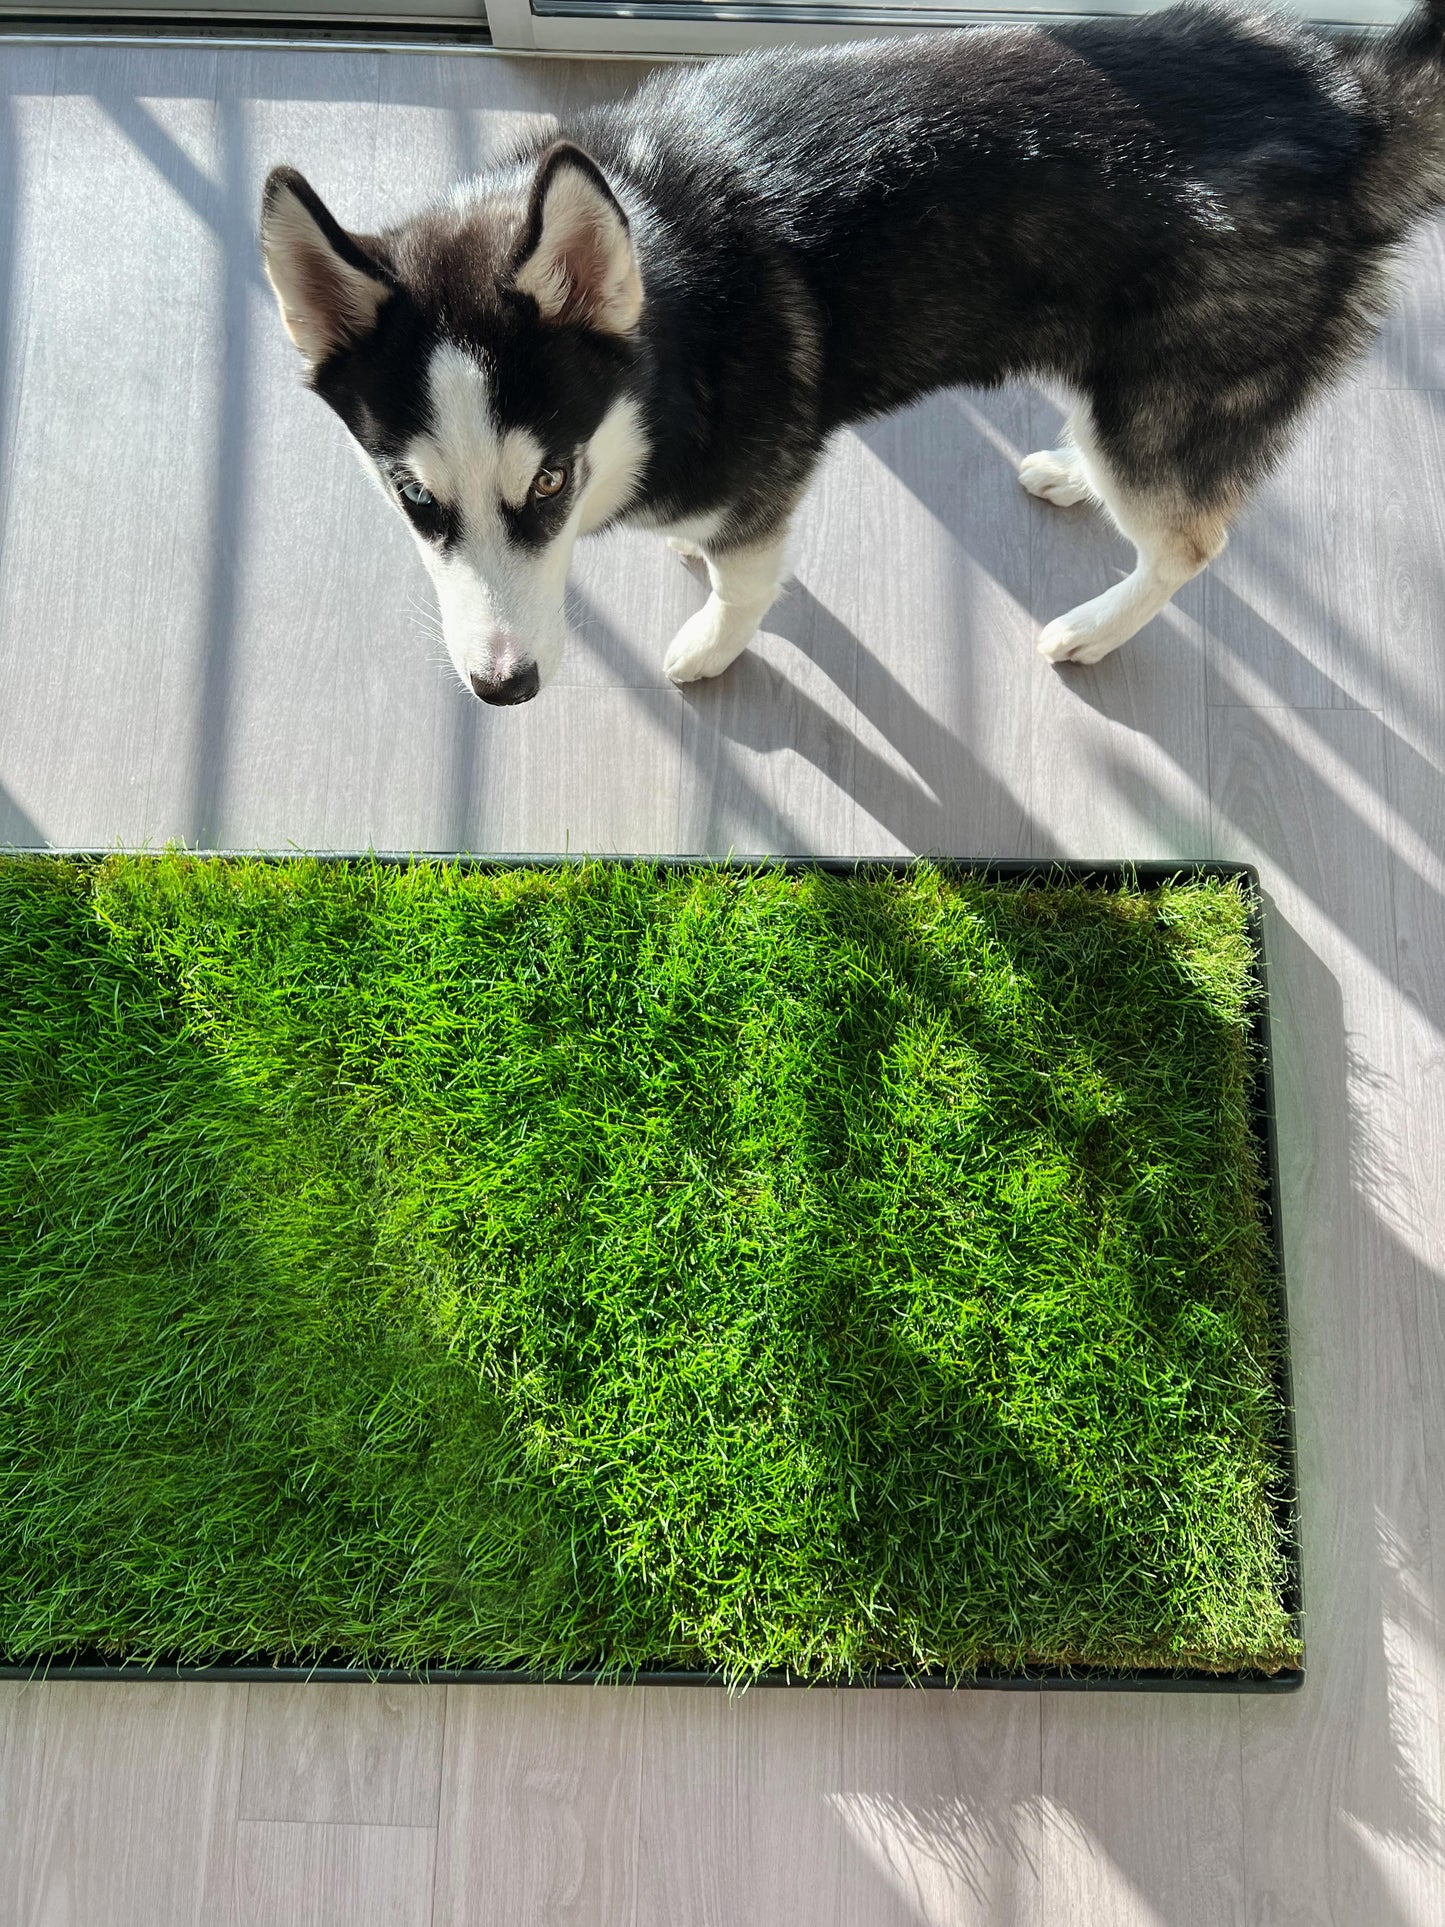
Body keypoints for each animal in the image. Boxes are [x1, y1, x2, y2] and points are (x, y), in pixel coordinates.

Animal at [260, 0, 1445, 709]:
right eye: (413, 496)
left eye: (547, 479)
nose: (503, 689)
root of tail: (1355, 105)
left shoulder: (757, 496)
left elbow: (745, 586)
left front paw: (710, 642)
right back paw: (1069, 471)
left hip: (1166, 408)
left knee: (1189, 541)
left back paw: (1093, 628)